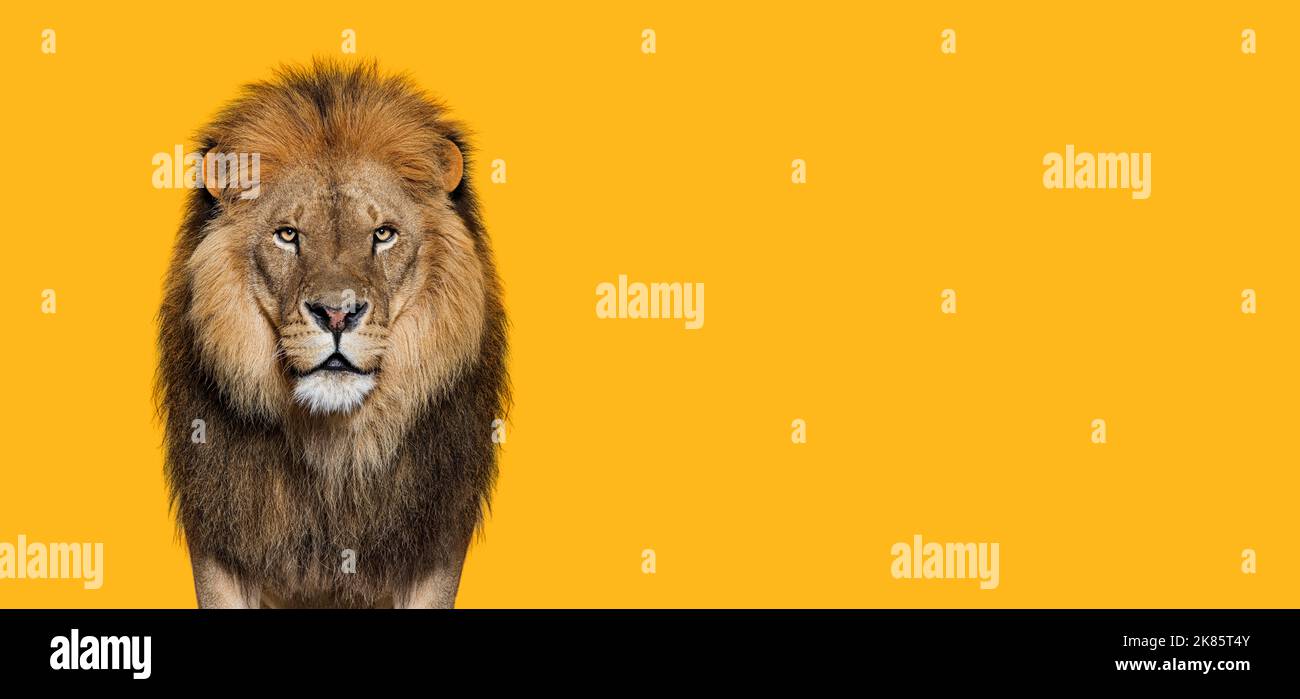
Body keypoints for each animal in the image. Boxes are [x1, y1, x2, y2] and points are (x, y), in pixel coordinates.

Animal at [156, 60, 508, 608]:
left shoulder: (436, 547)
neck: (335, 446)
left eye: (383, 234)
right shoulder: (219, 542)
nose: (337, 314)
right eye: (288, 235)